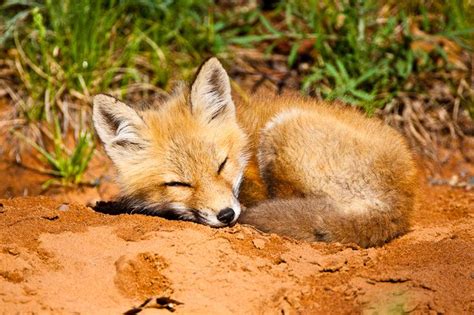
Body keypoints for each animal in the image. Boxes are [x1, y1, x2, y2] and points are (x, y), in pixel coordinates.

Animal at [93, 58, 418, 248]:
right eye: (179, 184)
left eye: (221, 165)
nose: (226, 215)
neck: (245, 138)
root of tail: (399, 203)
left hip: (282, 131)